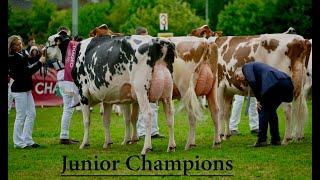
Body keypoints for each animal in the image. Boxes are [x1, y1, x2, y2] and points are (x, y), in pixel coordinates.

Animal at [45, 32, 176, 155]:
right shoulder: (107, 98)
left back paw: (146, 147)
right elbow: (106, 121)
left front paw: (84, 143)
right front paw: (107, 142)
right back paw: (171, 146)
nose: (43, 52)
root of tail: (157, 40)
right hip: (167, 94)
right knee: (170, 116)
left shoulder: (83, 93)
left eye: (48, 42)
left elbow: (86, 121)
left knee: (148, 114)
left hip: (141, 90)